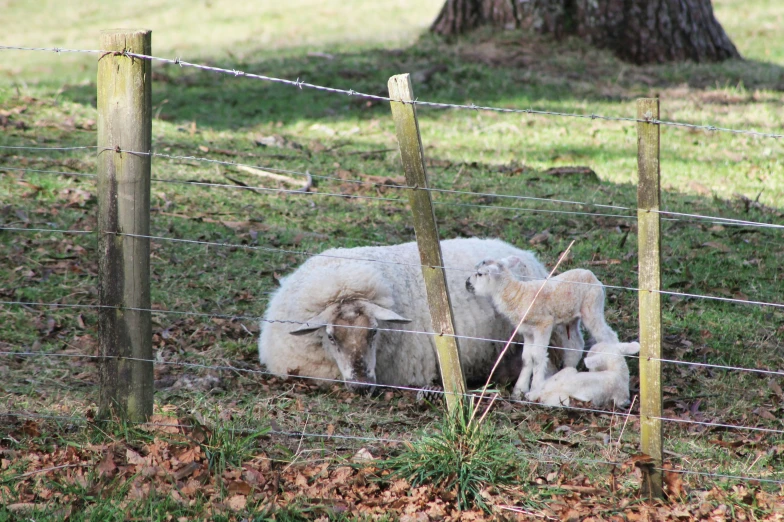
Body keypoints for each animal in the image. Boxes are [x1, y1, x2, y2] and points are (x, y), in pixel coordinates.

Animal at [466, 256, 620, 398]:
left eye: (480, 274)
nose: (467, 283)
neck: (517, 295)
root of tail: (591, 275)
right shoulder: (527, 331)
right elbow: (526, 358)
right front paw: (519, 390)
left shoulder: (543, 324)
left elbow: (538, 357)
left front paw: (534, 389)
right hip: (570, 317)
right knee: (575, 344)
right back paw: (567, 373)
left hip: (592, 306)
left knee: (609, 336)